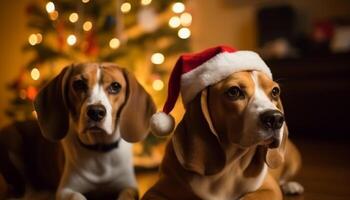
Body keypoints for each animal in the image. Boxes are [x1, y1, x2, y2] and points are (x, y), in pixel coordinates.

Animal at [0, 63, 156, 200]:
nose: (95, 112)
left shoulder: (129, 186)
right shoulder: (66, 189)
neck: (99, 150)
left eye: (115, 86)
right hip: (11, 138)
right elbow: (77, 196)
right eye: (79, 84)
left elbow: (127, 195)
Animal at [142, 45, 304, 200]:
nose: (276, 119)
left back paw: (291, 185)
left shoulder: (269, 189)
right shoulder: (154, 192)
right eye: (234, 91)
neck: (229, 167)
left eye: (275, 92)